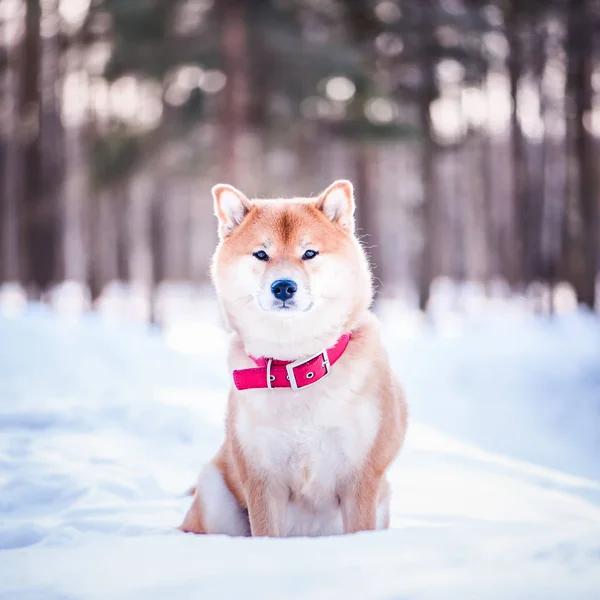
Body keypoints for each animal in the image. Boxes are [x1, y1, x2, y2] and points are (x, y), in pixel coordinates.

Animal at [179, 180, 408, 536]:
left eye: (309, 253)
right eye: (262, 253)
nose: (283, 286)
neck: (297, 369)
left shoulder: (360, 477)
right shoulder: (262, 478)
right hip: (215, 492)